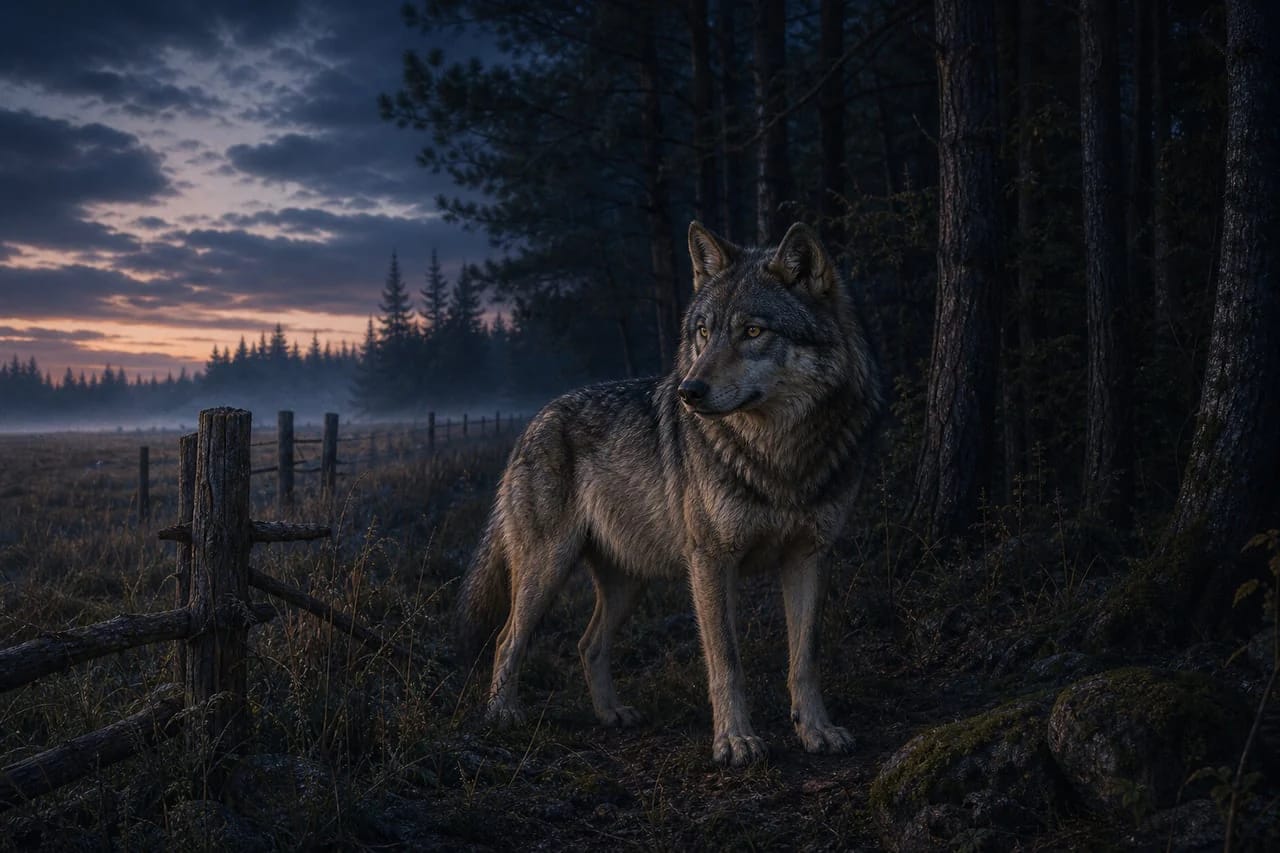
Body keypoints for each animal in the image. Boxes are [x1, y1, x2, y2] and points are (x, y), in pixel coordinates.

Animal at [455, 220, 883, 766]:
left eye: (753, 332)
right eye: (703, 331)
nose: (688, 391)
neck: (778, 458)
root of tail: (535, 421)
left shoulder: (810, 555)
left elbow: (805, 659)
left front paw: (816, 730)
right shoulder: (711, 560)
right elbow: (726, 661)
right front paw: (734, 741)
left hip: (628, 582)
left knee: (587, 644)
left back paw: (612, 714)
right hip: (545, 570)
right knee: (507, 638)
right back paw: (502, 715)